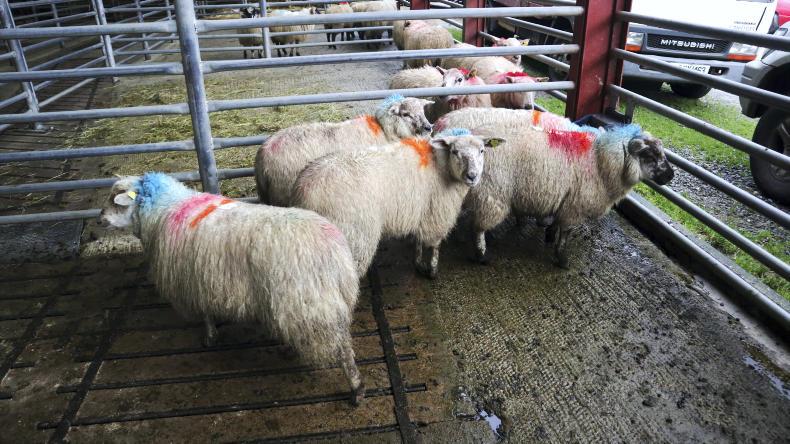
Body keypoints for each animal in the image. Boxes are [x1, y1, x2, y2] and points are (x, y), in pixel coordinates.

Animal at [99, 172, 365, 405]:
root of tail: (331, 248)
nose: (99, 219)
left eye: (115, 200)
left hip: (312, 304)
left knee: (343, 350)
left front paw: (209, 338)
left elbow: (205, 315)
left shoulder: (194, 282)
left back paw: (356, 388)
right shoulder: (203, 280)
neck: (165, 209)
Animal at [255, 94, 434, 206]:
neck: (384, 130)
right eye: (406, 114)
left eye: (422, 110)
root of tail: (263, 154)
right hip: (283, 192)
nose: (428, 127)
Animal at [292, 129, 504, 279]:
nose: (472, 176)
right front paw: (432, 271)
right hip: (354, 236)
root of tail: (304, 191)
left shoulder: (422, 209)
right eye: (455, 151)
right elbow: (434, 245)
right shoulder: (437, 213)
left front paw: (418, 264)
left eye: (482, 150)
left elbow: (418, 241)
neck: (441, 166)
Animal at [434, 108, 674, 268]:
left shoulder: (563, 198)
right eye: (650, 155)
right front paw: (562, 259)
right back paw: (481, 255)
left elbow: (556, 223)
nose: (670, 176)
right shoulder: (575, 206)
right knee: (478, 227)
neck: (599, 160)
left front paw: (548, 233)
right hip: (493, 194)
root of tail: (441, 124)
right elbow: (565, 233)